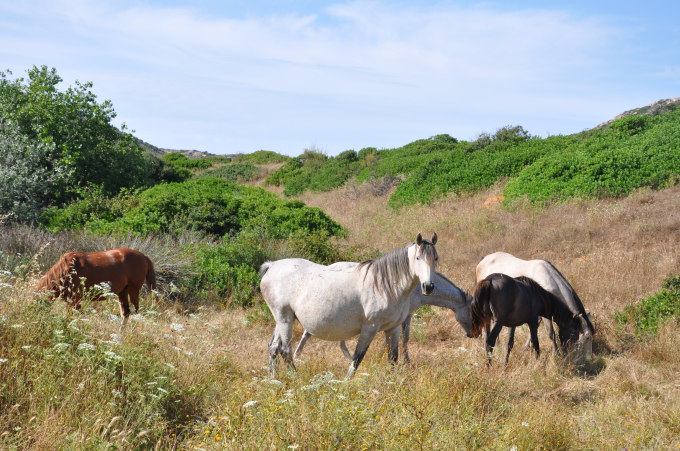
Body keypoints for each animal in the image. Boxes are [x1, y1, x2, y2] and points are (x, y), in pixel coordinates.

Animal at [258, 235, 438, 380]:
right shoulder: (369, 328)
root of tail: (272, 266)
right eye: (418, 258)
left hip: (283, 319)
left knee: (274, 347)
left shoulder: (393, 328)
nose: (428, 287)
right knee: (285, 350)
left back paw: (273, 379)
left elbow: (393, 358)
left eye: (435, 258)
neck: (385, 286)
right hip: (284, 319)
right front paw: (345, 383)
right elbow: (357, 358)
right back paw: (295, 378)